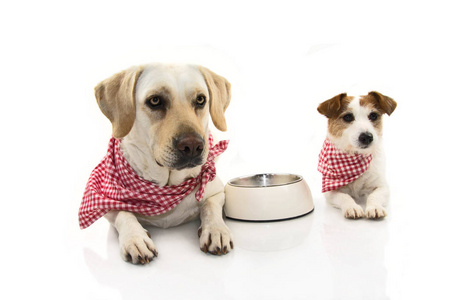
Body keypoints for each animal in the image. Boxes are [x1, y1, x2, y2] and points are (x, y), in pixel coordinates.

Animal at [81, 62, 234, 262]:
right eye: (155, 101)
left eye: (201, 99)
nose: (193, 146)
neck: (167, 185)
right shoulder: (105, 203)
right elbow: (123, 213)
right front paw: (135, 238)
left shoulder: (217, 191)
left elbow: (210, 206)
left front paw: (216, 230)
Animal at [318, 90, 396, 219]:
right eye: (348, 117)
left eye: (373, 115)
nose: (367, 137)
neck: (355, 155)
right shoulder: (330, 191)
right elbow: (345, 197)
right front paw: (352, 207)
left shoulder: (382, 187)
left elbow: (374, 196)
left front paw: (374, 207)